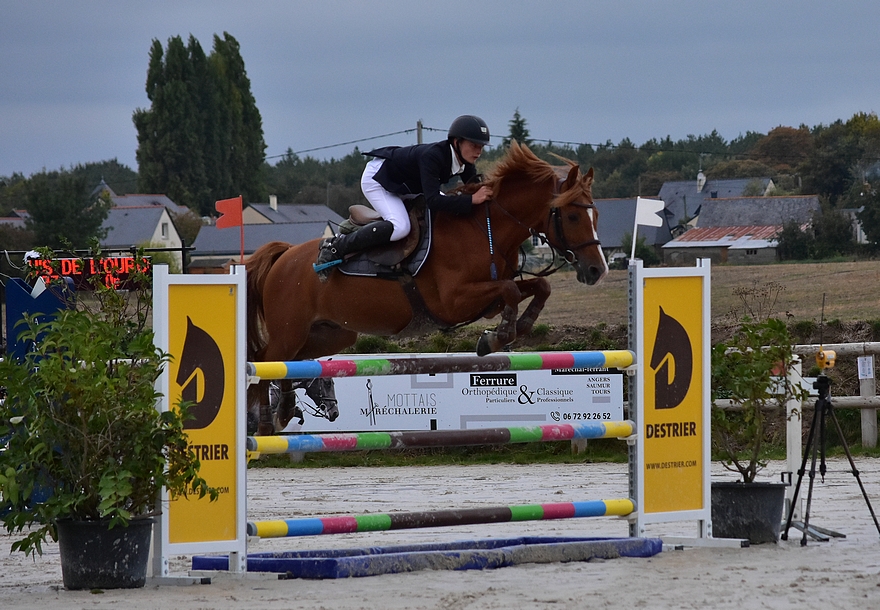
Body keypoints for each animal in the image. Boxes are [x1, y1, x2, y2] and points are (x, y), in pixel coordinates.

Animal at [244, 139, 608, 432]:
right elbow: (511, 291)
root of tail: (285, 255)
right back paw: (262, 421)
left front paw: (516, 328)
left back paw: (283, 411)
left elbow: (535, 288)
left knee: (290, 363)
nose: (597, 270)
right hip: (290, 330)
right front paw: (498, 336)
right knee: (265, 360)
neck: (484, 229)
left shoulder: (487, 297)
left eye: (596, 215)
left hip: (333, 333)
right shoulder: (453, 301)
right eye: (572, 216)